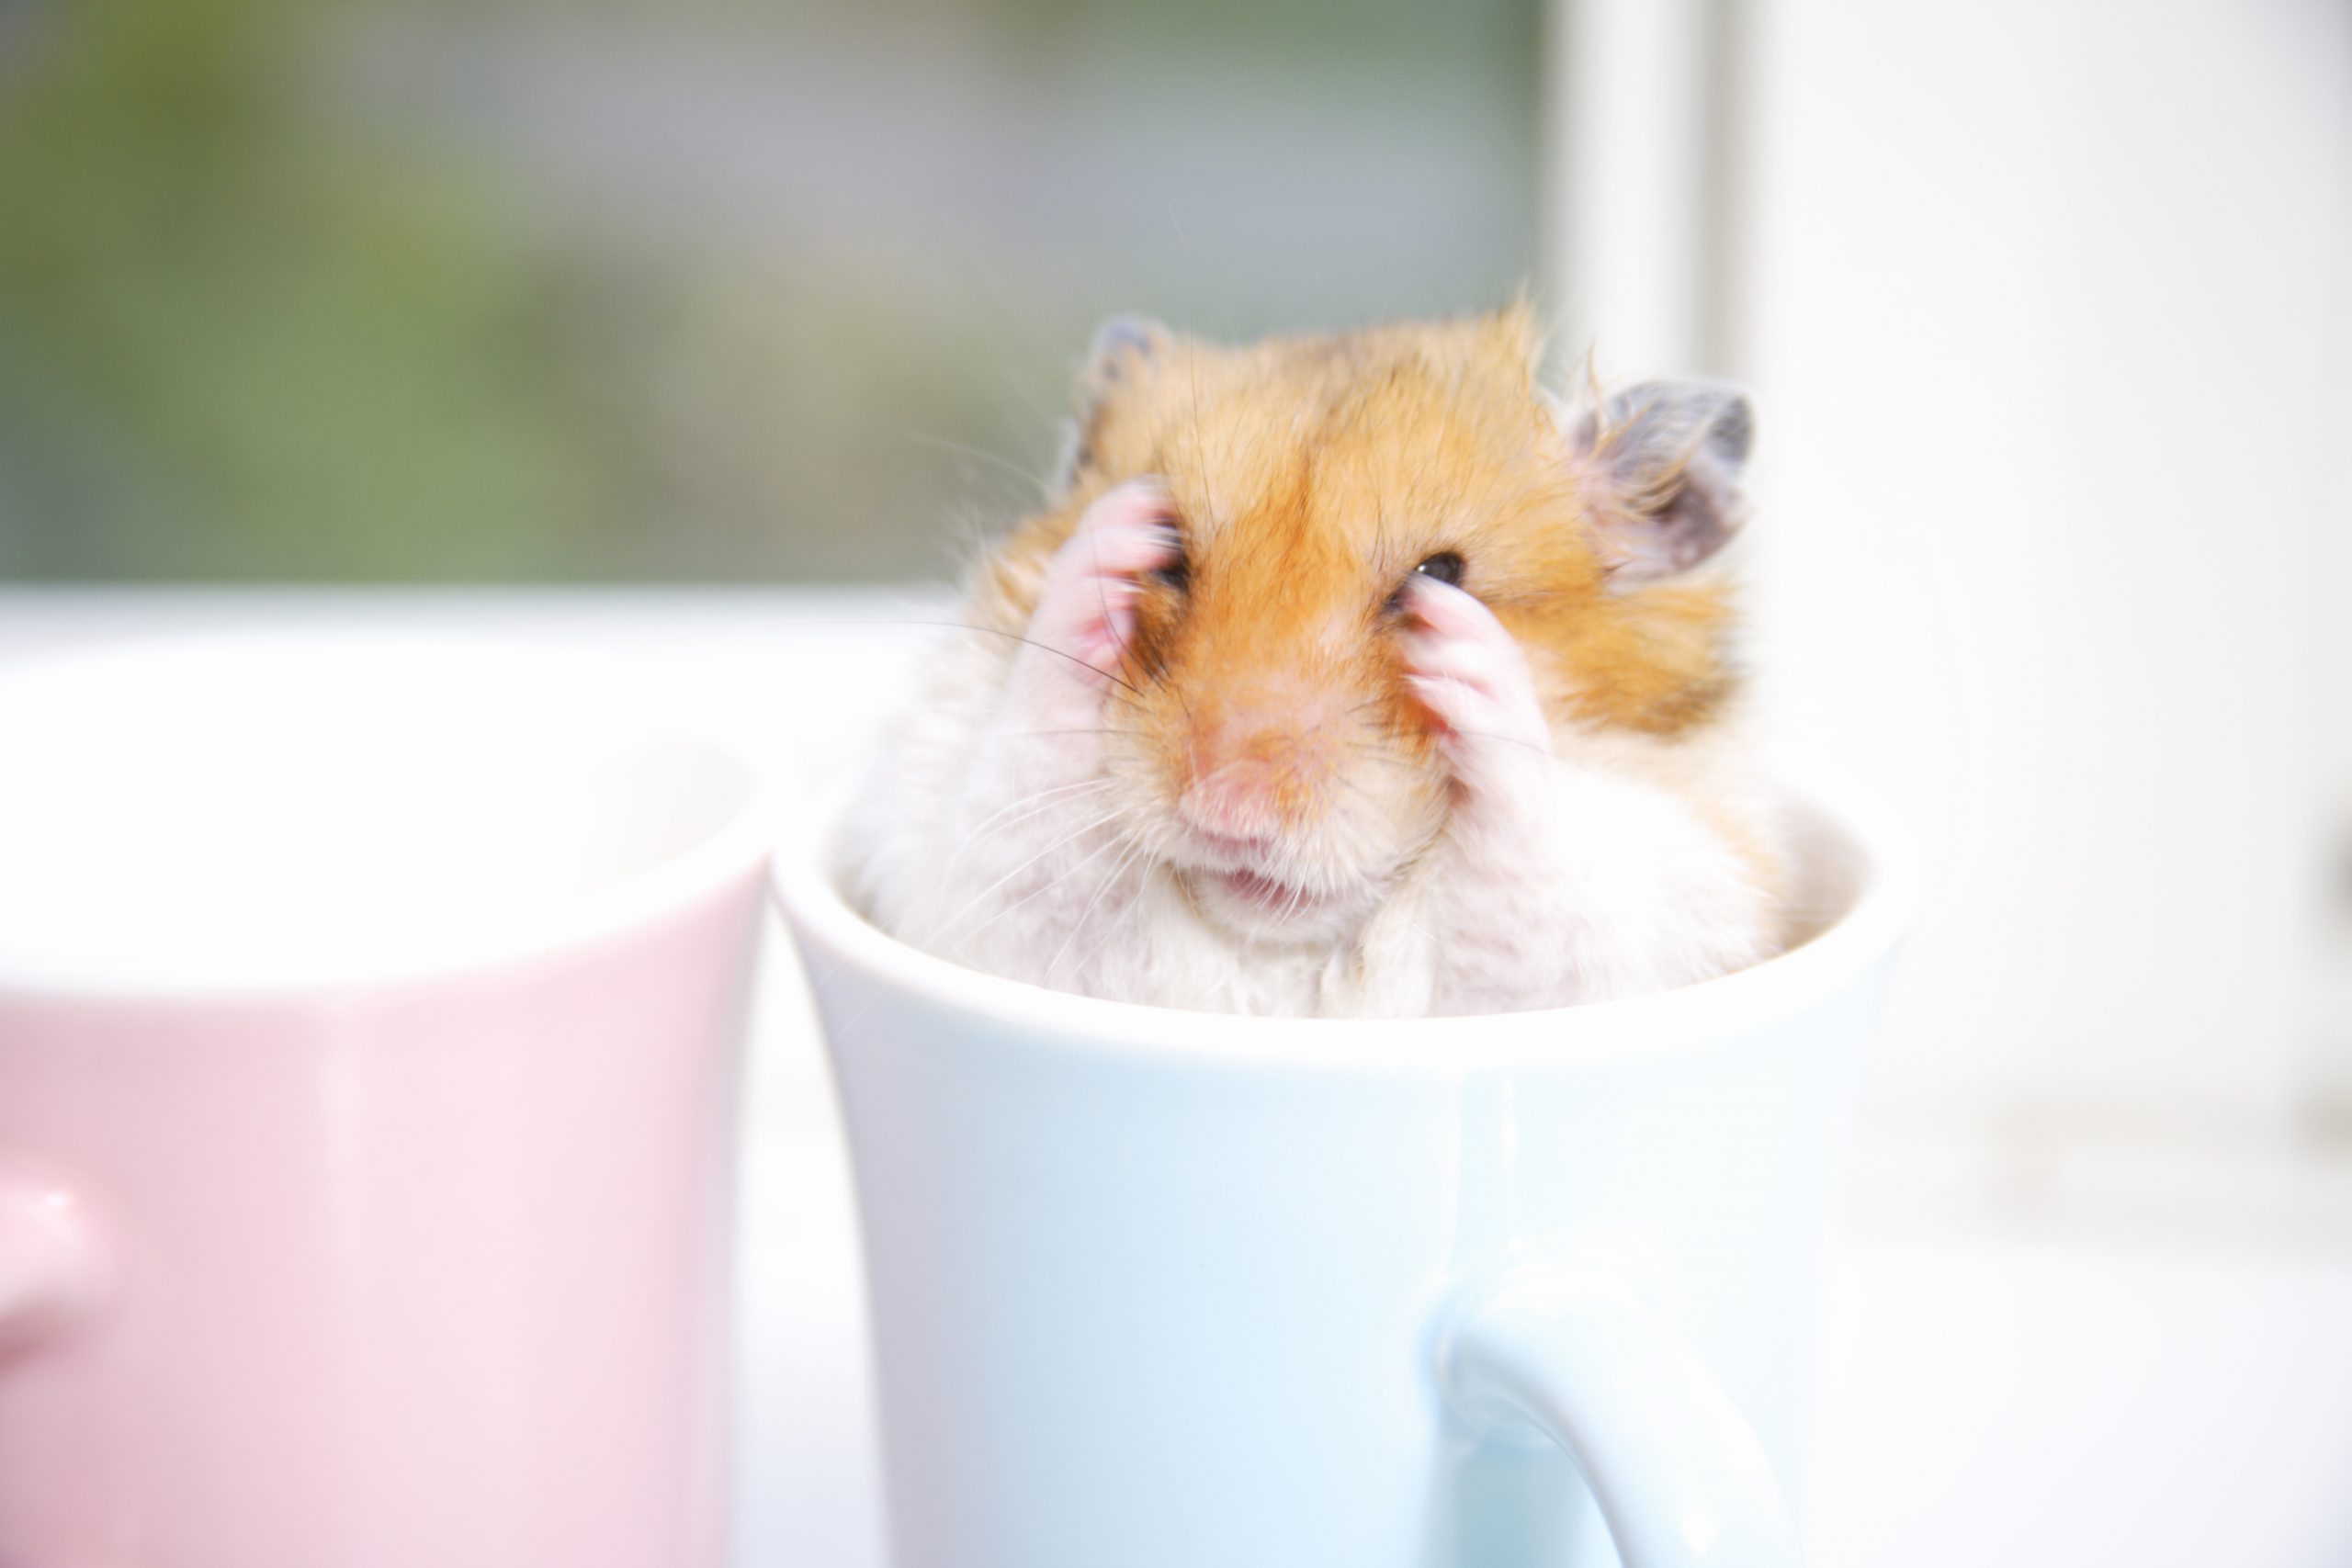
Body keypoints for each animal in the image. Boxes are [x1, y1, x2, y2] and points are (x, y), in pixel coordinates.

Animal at [844, 304, 1785, 1017]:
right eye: (1169, 558)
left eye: (1439, 576)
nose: (1226, 808)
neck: (1288, 942)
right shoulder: (993, 894)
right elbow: (1028, 799)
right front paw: (1108, 538)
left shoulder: (1618, 927)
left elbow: (1529, 867)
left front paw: (1472, 660)